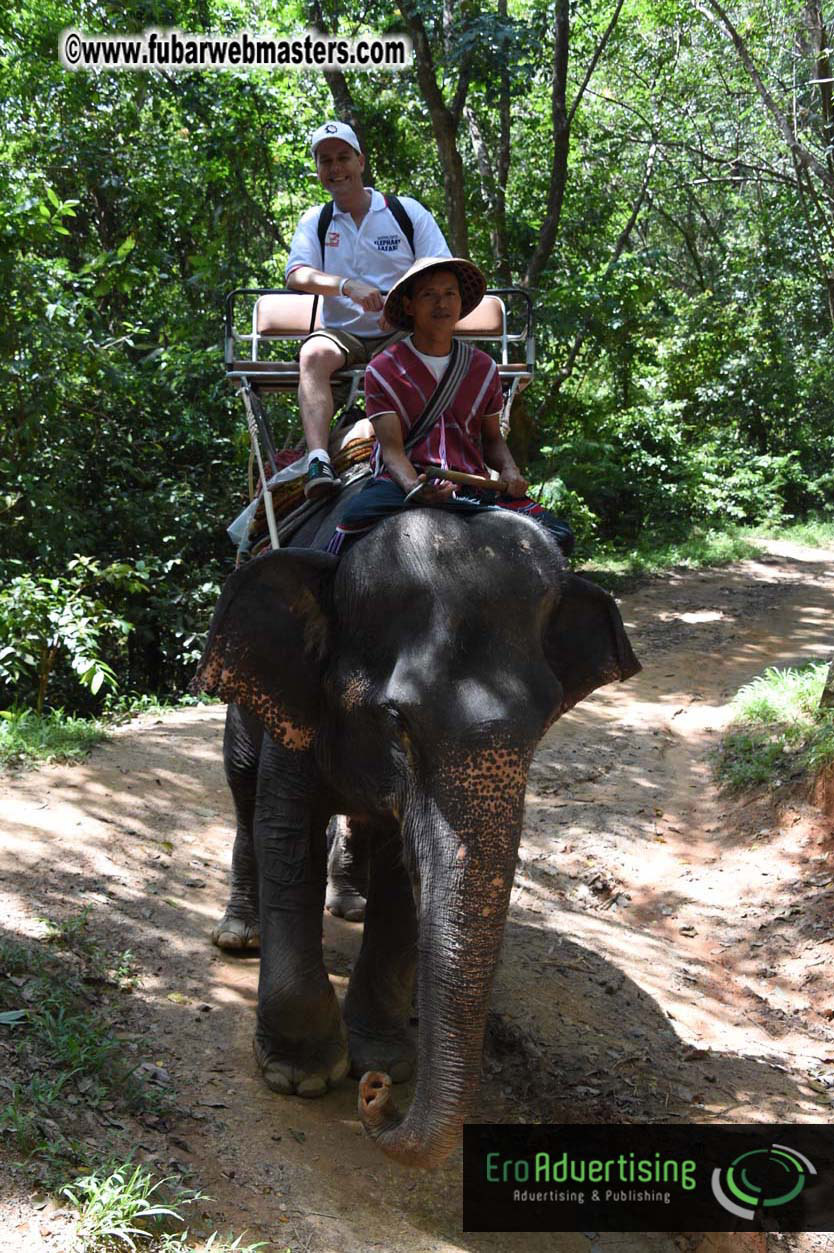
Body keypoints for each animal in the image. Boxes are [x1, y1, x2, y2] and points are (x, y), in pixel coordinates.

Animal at [193, 505, 639, 1168]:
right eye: (397, 720)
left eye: (544, 723)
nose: (375, 1099)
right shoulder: (300, 702)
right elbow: (286, 835)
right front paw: (302, 1077)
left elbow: (406, 873)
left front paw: (382, 1062)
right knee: (243, 787)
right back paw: (239, 935)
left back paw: (349, 905)